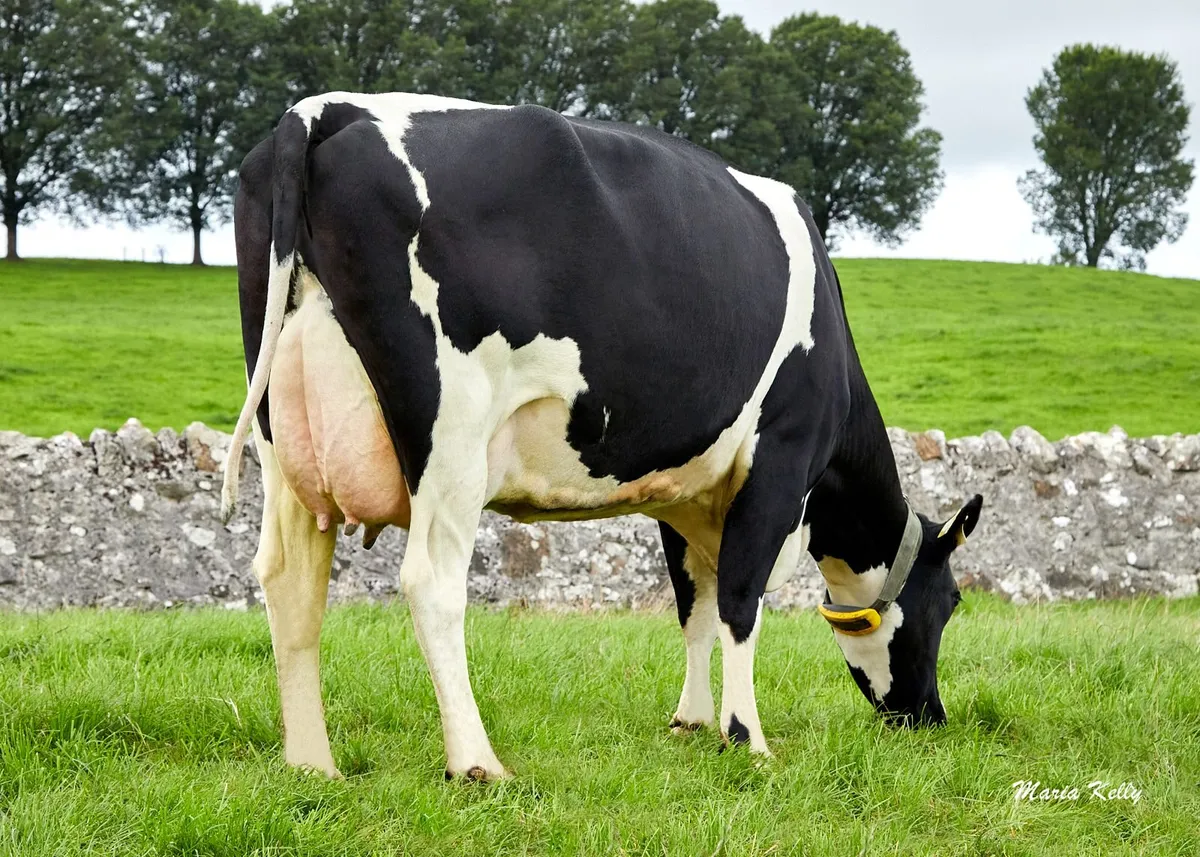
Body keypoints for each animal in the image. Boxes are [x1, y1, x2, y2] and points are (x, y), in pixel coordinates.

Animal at [221, 92, 983, 781]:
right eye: (951, 602)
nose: (930, 715)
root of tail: (324, 110)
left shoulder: (687, 490)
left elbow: (693, 605)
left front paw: (690, 721)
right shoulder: (780, 459)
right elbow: (739, 601)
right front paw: (746, 740)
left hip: (281, 431)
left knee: (290, 583)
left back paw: (312, 764)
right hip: (451, 434)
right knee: (432, 582)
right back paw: (477, 762)